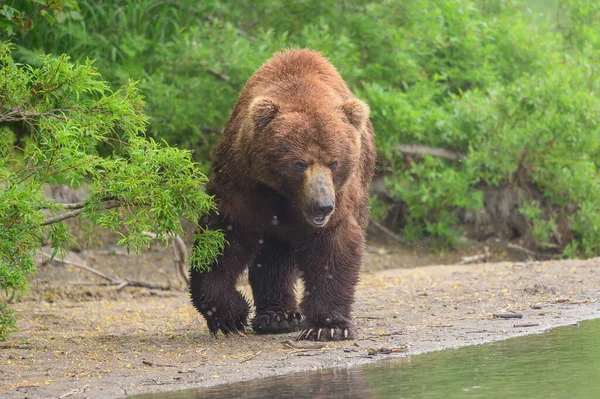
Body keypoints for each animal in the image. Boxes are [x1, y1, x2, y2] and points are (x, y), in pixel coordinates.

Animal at [190, 48, 376, 342]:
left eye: (334, 162)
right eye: (299, 163)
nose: (323, 206)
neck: (286, 194)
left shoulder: (343, 195)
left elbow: (334, 246)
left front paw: (328, 325)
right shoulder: (244, 183)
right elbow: (222, 238)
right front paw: (230, 315)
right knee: (273, 256)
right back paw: (277, 317)